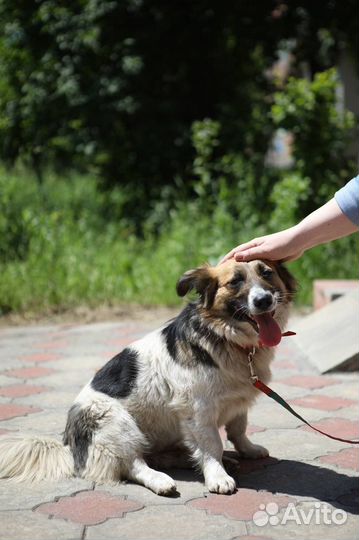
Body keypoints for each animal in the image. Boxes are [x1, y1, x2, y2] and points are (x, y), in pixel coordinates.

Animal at [0, 260, 296, 496]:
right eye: (235, 281)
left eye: (267, 273)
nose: (264, 300)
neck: (227, 337)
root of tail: (69, 446)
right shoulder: (198, 409)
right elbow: (211, 444)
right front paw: (217, 476)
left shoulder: (237, 399)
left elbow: (238, 428)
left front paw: (248, 450)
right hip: (118, 423)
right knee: (134, 464)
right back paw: (161, 480)